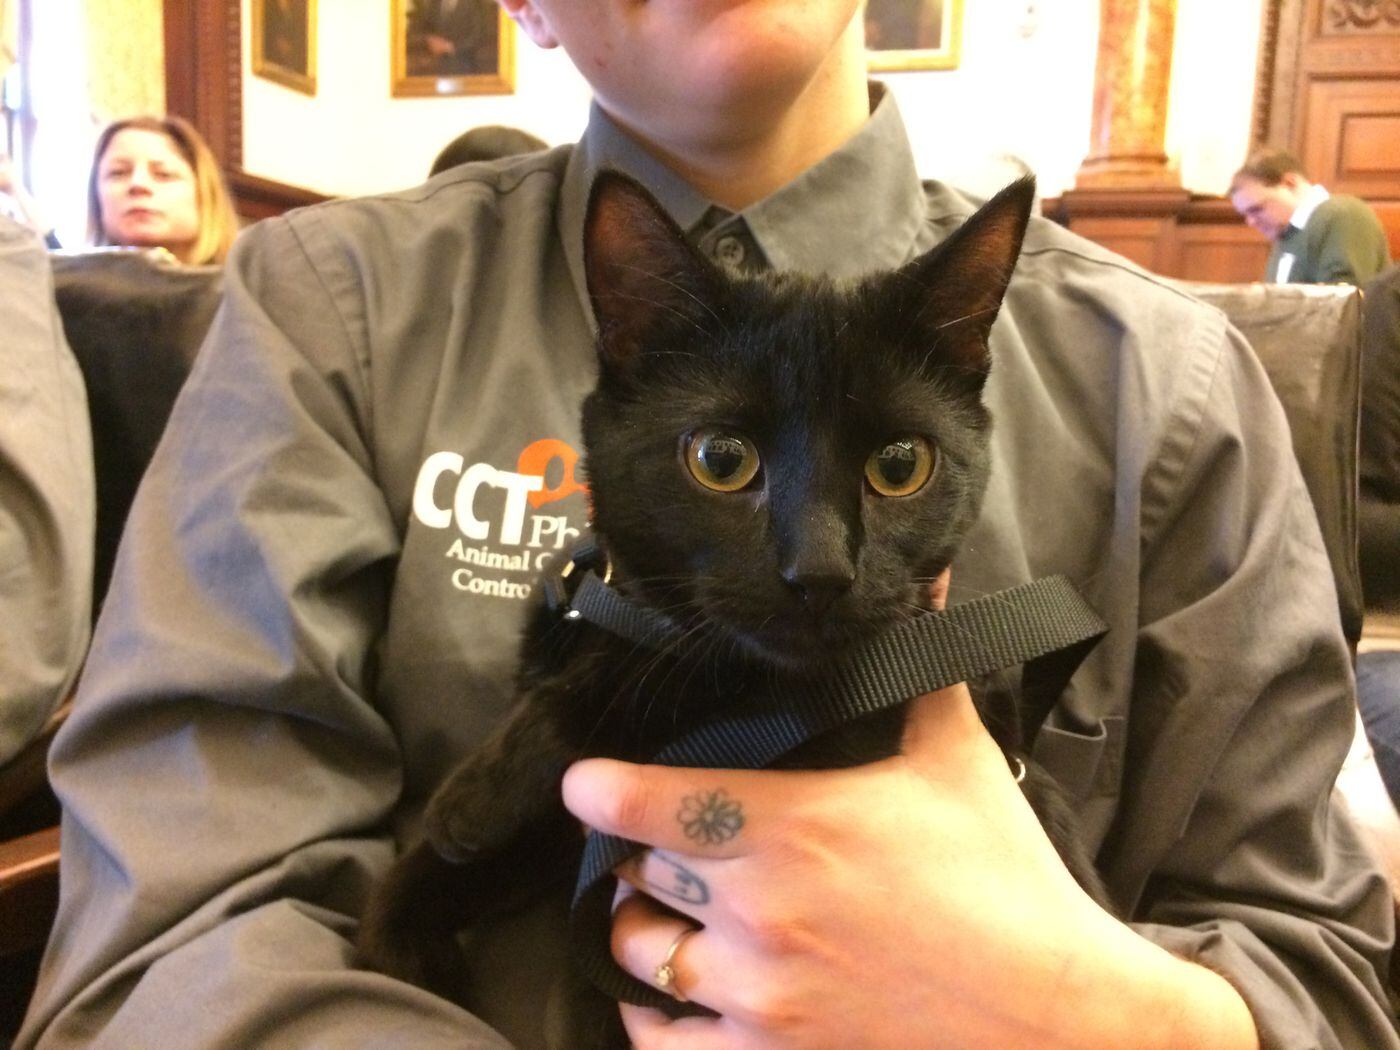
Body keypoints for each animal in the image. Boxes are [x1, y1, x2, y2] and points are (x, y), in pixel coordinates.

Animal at [357, 171, 1109, 1048]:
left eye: (899, 466)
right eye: (721, 459)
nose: (819, 572)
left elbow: (657, 701)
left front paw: (479, 795)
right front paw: (407, 920)